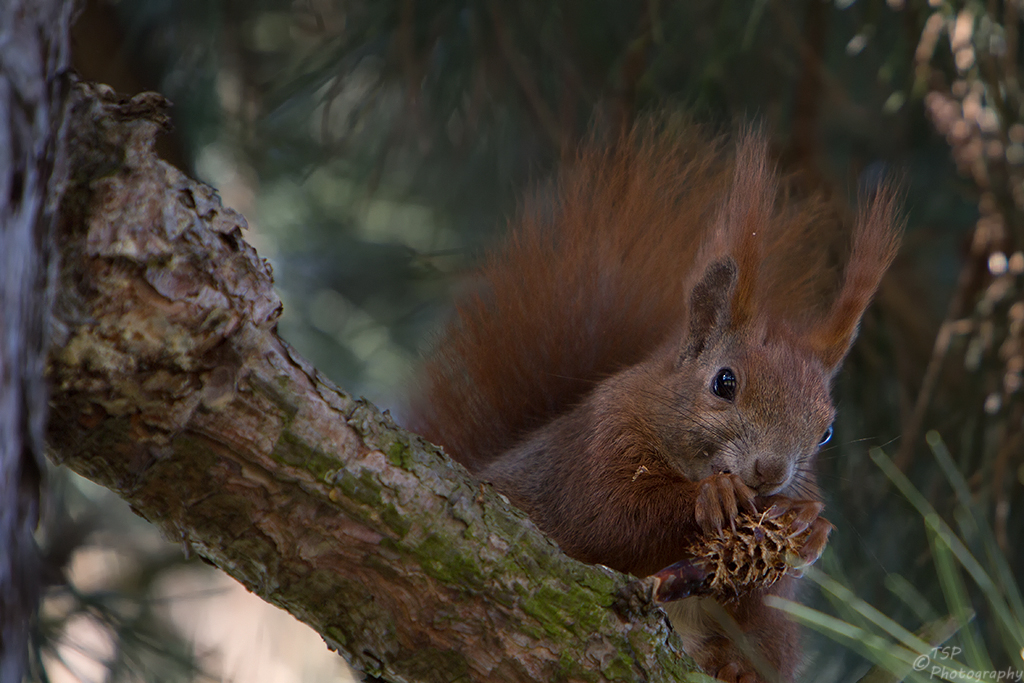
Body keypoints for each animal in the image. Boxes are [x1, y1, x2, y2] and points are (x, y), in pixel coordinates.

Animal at [403, 121, 901, 683]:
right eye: (724, 383)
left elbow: (759, 593)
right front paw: (711, 497)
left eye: (827, 431)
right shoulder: (600, 441)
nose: (770, 472)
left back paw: (737, 668)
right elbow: (614, 518)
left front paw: (809, 526)